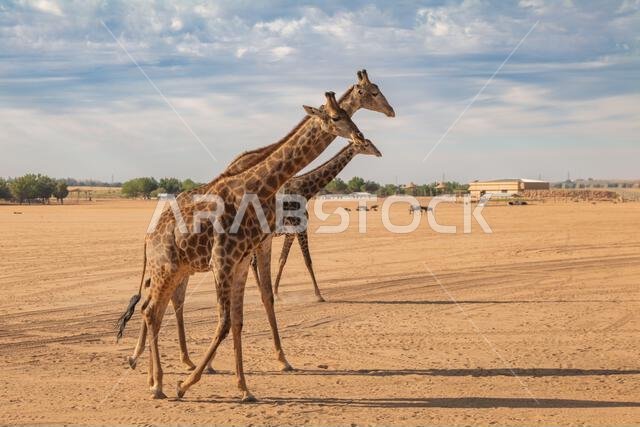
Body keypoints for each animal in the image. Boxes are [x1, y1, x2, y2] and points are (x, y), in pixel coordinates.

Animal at [122, 69, 395, 372]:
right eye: (372, 91)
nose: (390, 111)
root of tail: (149, 233)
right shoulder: (277, 235)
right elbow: (298, 266)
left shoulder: (262, 242)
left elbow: (266, 293)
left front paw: (282, 357)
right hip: (179, 263)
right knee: (162, 300)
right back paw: (156, 359)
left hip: (185, 265)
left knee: (166, 299)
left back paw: (175, 359)